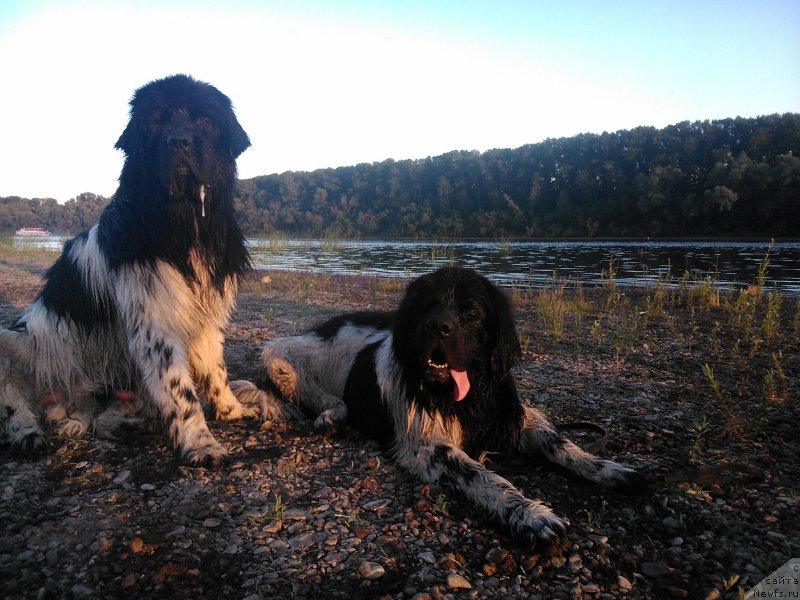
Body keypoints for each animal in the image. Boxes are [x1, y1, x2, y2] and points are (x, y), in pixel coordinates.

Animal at [0, 75, 258, 466]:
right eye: (158, 122)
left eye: (204, 120)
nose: (179, 141)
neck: (183, 224)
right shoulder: (155, 321)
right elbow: (180, 391)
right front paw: (201, 443)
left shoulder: (206, 314)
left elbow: (216, 370)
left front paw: (232, 411)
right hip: (19, 342)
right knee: (15, 399)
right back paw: (29, 433)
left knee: (90, 414)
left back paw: (104, 424)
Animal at [234, 268, 648, 548]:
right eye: (425, 306)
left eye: (472, 311)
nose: (438, 327)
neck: (464, 397)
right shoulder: (425, 445)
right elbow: (483, 476)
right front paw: (531, 514)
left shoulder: (512, 418)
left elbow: (560, 443)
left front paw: (609, 469)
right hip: (282, 356)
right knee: (324, 396)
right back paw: (330, 416)